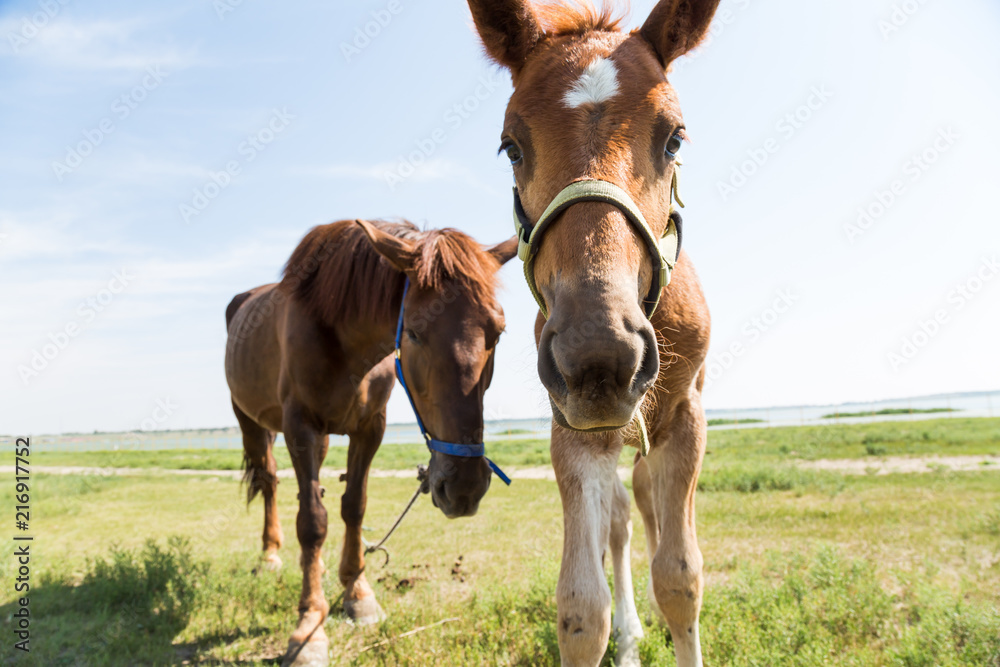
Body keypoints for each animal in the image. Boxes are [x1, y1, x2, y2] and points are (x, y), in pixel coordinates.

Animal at [224, 218, 517, 666]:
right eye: (413, 332)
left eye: (497, 333)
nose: (464, 488)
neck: (340, 337)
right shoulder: (299, 426)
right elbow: (313, 522)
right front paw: (309, 626)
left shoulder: (369, 428)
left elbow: (353, 507)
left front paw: (357, 594)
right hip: (253, 424)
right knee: (271, 482)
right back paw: (271, 554)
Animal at [466, 1, 719, 665]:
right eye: (510, 147)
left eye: (674, 137)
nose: (600, 357)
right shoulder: (574, 431)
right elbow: (582, 607)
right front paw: (617, 631)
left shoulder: (686, 417)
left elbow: (680, 577)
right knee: (622, 521)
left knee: (646, 507)